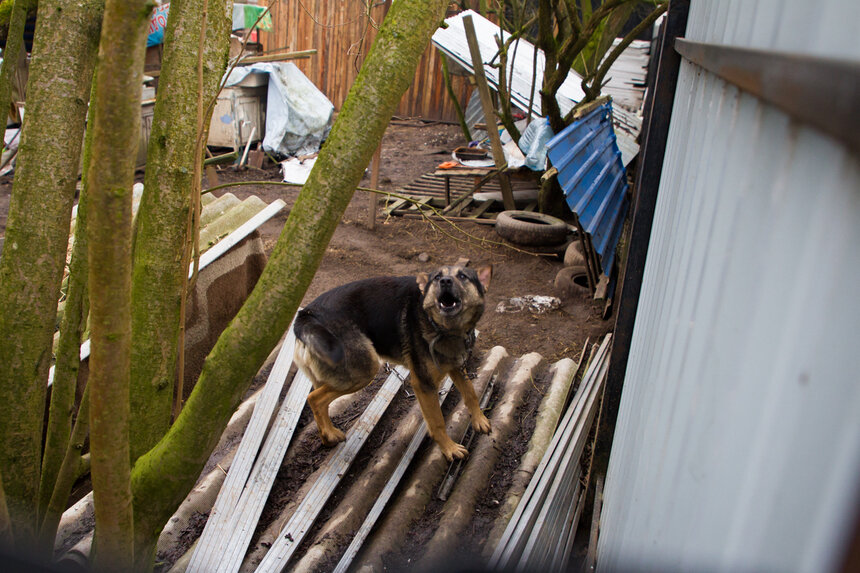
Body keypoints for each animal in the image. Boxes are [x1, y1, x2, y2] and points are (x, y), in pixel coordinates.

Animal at [296, 264, 494, 460]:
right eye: (437, 277)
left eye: (462, 276)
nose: (445, 281)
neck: (444, 327)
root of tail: (305, 315)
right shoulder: (424, 385)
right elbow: (437, 422)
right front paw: (449, 448)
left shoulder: (457, 366)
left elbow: (471, 393)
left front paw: (479, 420)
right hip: (364, 370)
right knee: (314, 398)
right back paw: (329, 433)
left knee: (320, 400)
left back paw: (327, 436)